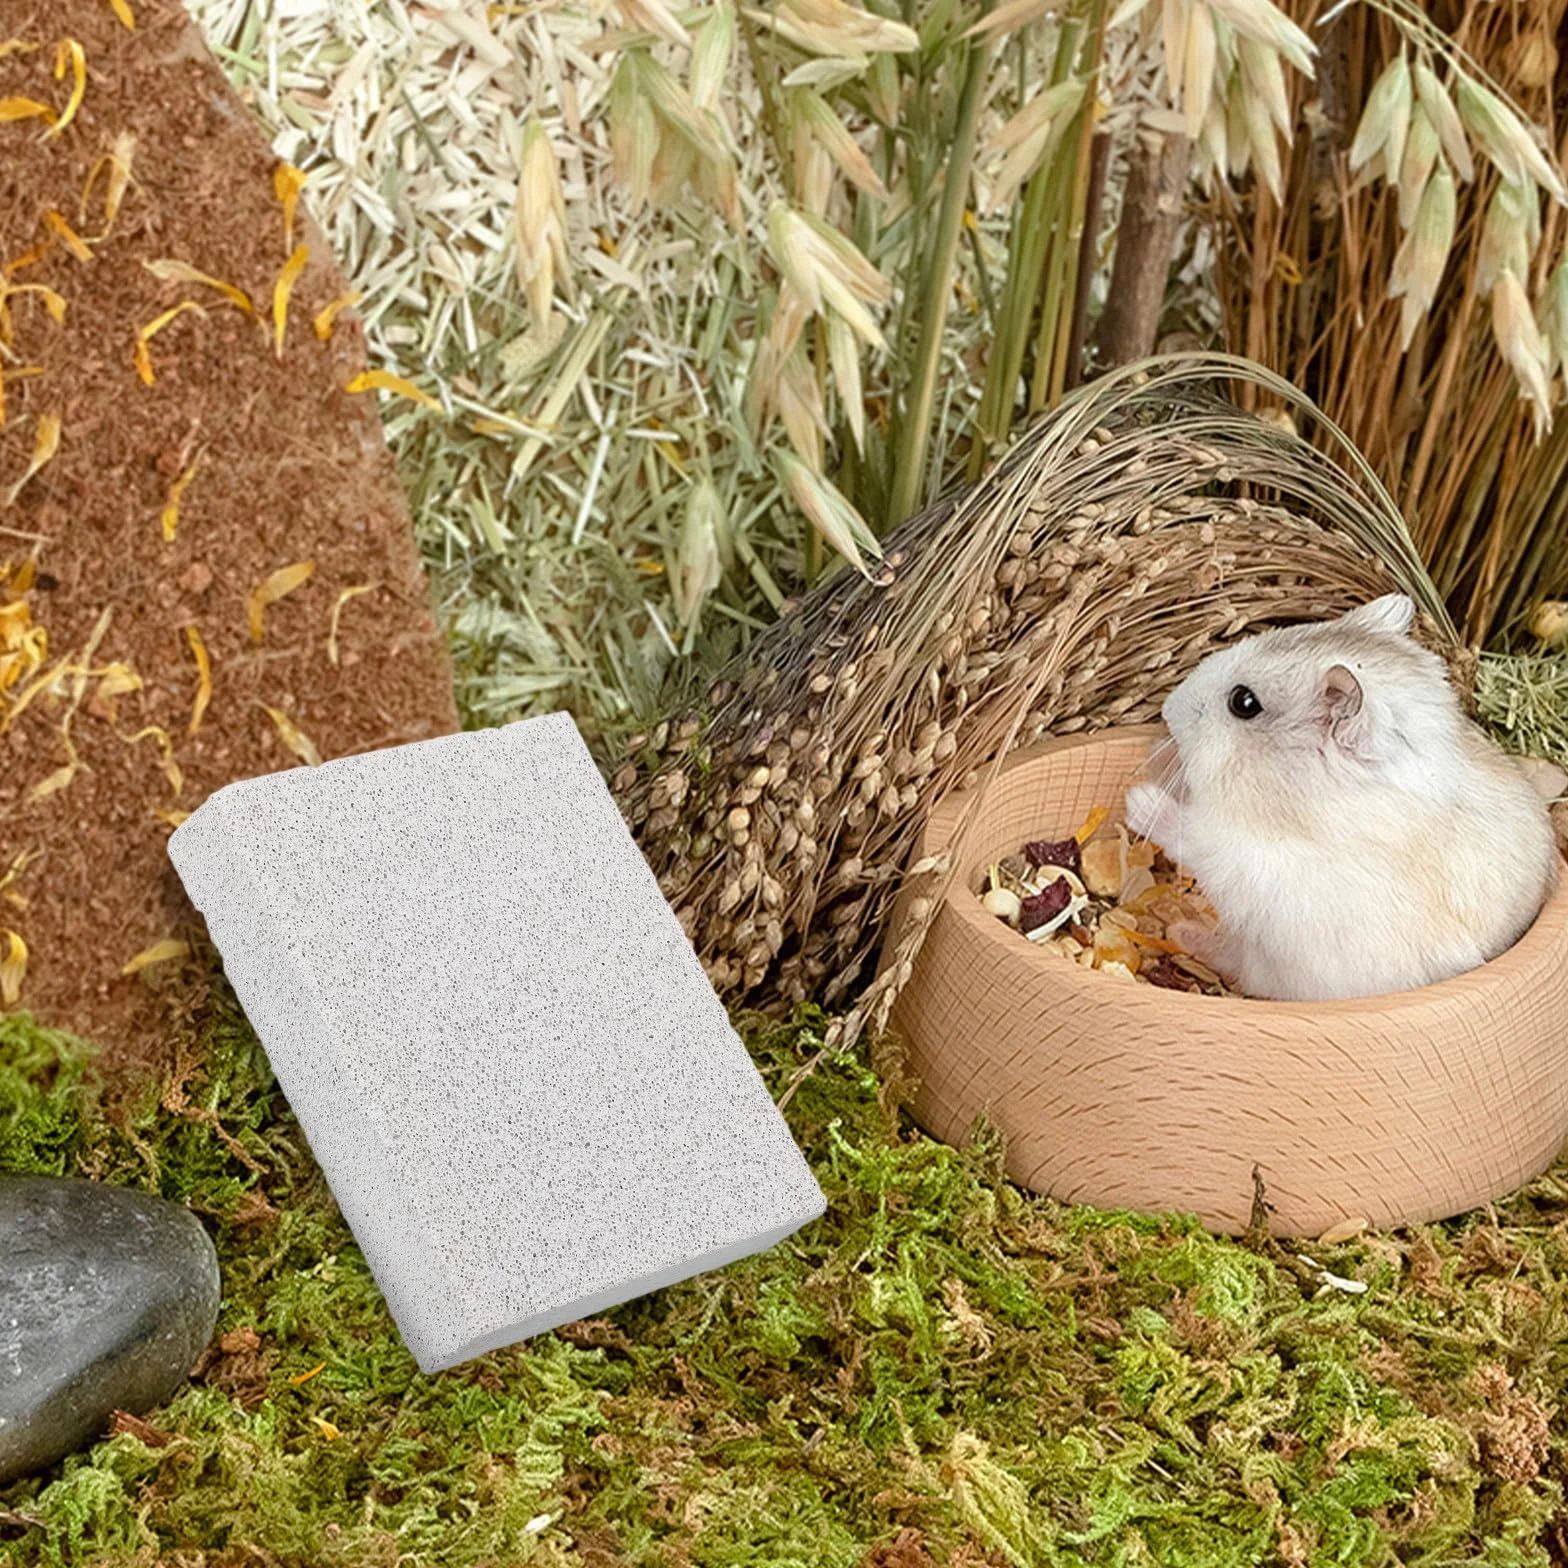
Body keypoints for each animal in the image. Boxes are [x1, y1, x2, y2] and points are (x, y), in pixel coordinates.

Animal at [1124, 594, 1561, 1002]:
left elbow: (1205, 840)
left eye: (1243, 703)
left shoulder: (1275, 873)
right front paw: (1154, 757)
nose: (1166, 709)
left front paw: (1138, 800)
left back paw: (1183, 928)